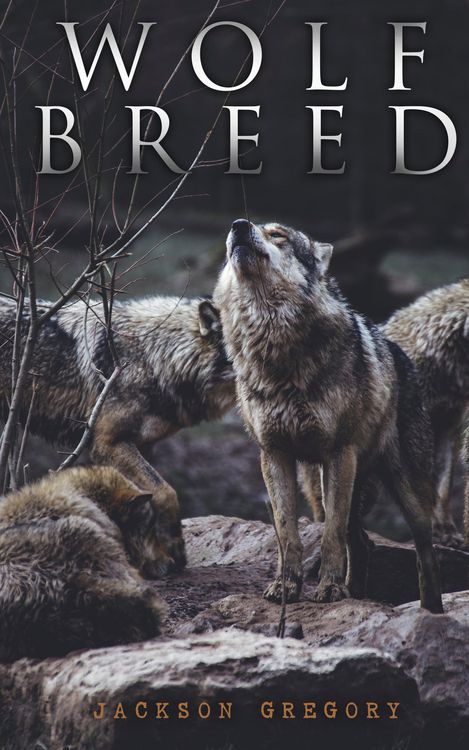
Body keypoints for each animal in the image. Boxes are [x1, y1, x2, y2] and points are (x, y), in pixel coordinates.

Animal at [0, 296, 235, 574]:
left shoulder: (143, 446)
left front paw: (156, 559)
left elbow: (146, 502)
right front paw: (174, 550)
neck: (153, 358)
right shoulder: (109, 443)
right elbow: (166, 492)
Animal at [214, 218, 443, 613]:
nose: (239, 225)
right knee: (363, 543)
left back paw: (431, 611)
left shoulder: (338, 452)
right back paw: (358, 593)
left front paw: (330, 590)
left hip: (405, 492)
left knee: (424, 553)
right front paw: (286, 587)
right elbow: (286, 532)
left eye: (278, 235)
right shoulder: (273, 454)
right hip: (322, 484)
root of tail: (401, 354)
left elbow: (331, 536)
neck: (275, 348)